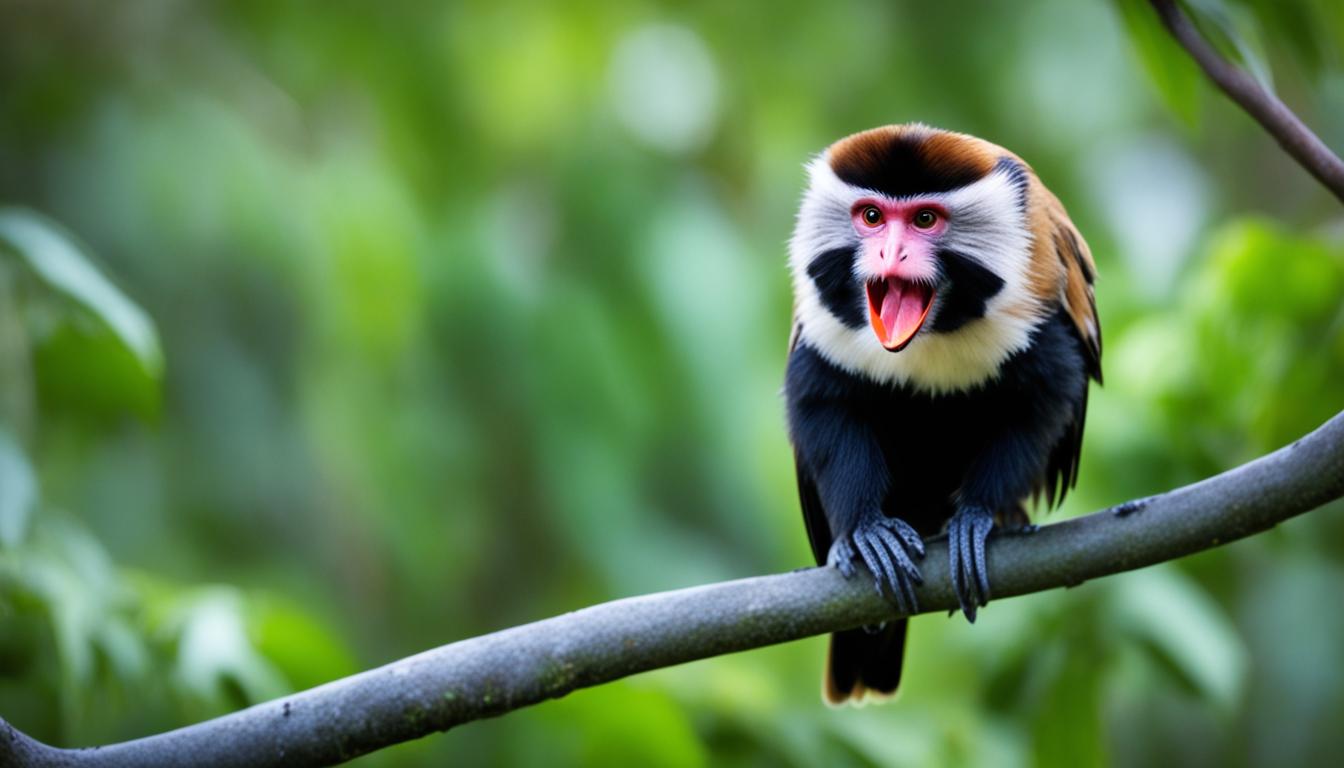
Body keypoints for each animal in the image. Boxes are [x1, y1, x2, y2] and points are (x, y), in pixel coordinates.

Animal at [784, 124, 1102, 704]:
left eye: (925, 220)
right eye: (871, 216)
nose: (891, 253)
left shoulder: (1051, 354)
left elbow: (1035, 418)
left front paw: (977, 520)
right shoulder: (821, 358)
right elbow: (830, 422)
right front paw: (865, 534)